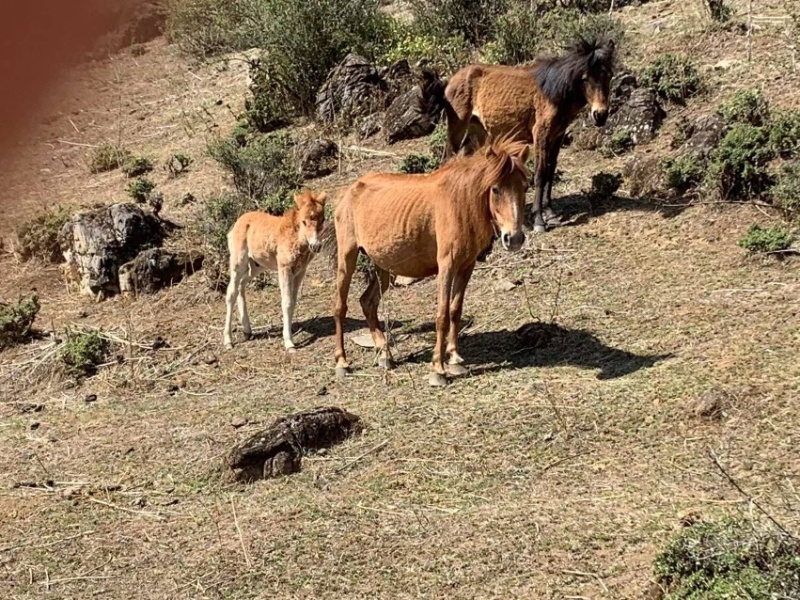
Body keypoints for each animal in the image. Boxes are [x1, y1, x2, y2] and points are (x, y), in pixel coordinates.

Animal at [223, 190, 327, 352]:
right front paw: (289, 343)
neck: (296, 238)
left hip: (257, 265)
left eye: (322, 219)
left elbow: (293, 301)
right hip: (238, 261)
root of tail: (235, 226)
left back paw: (247, 330)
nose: (316, 245)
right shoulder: (284, 268)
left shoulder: (300, 271)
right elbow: (287, 302)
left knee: (242, 285)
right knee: (231, 292)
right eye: (304, 221)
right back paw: (228, 340)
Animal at [329, 138, 530, 387]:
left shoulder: (466, 267)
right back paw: (342, 362)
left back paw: (384, 354)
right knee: (340, 306)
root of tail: (349, 191)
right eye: (495, 189)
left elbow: (455, 310)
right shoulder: (447, 266)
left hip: (384, 268)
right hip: (347, 257)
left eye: (525, 187)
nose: (514, 238)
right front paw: (438, 369)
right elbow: (442, 314)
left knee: (368, 302)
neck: (460, 203)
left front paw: (454, 359)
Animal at [434, 38, 615, 233]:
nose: (600, 115)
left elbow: (550, 171)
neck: (552, 92)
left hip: (478, 132)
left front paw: (551, 213)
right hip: (458, 126)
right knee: (447, 159)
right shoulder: (541, 134)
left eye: (609, 75)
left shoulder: (557, 136)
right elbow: (540, 173)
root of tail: (450, 81)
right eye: (585, 78)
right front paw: (539, 220)